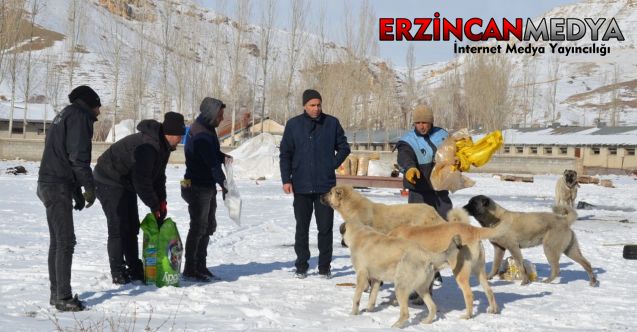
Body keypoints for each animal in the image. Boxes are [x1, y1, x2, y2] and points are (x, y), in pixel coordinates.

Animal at [462, 196, 596, 286]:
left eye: (472, 203)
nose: (462, 208)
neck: (496, 219)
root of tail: (564, 220)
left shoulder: (513, 247)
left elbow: (520, 265)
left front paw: (525, 281)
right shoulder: (499, 248)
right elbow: (495, 265)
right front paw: (489, 277)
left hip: (550, 248)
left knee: (556, 269)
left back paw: (548, 281)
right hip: (570, 250)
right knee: (587, 264)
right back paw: (593, 281)